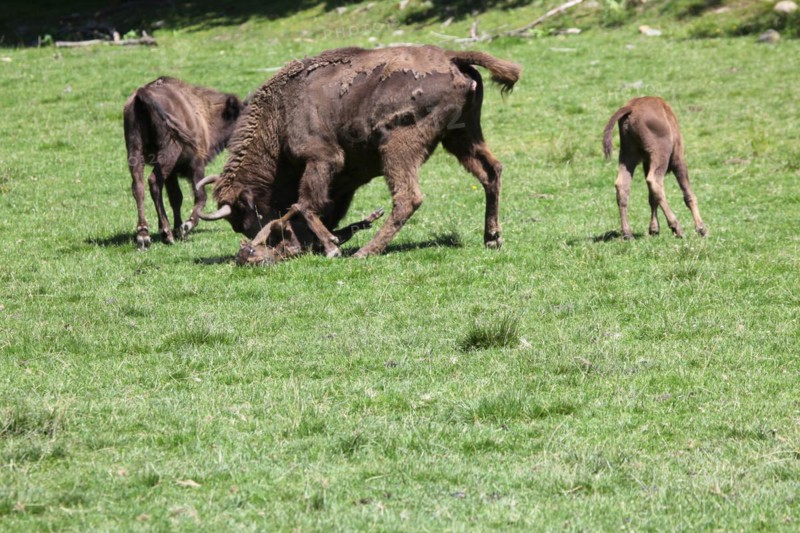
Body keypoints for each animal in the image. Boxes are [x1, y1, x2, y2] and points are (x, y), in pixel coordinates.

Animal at [123, 76, 244, 248]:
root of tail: (142, 93)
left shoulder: (172, 174)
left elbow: (176, 198)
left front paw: (178, 230)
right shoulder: (196, 165)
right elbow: (200, 195)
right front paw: (186, 226)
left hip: (135, 150)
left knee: (138, 187)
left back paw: (144, 235)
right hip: (169, 152)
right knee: (153, 182)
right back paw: (165, 234)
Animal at [198, 45, 521, 263]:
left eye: (244, 218)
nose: (277, 244)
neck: (279, 112)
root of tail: (451, 56)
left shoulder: (321, 159)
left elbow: (305, 203)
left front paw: (331, 246)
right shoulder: (341, 179)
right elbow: (318, 205)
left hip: (398, 147)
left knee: (408, 197)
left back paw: (366, 252)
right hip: (462, 136)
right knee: (491, 172)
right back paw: (492, 238)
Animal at [603, 96, 707, 239]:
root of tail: (631, 107)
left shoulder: (647, 162)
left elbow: (652, 198)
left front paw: (654, 229)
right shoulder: (678, 160)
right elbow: (688, 194)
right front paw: (701, 228)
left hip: (627, 155)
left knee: (622, 185)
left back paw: (628, 233)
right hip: (660, 155)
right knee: (654, 181)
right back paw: (677, 228)